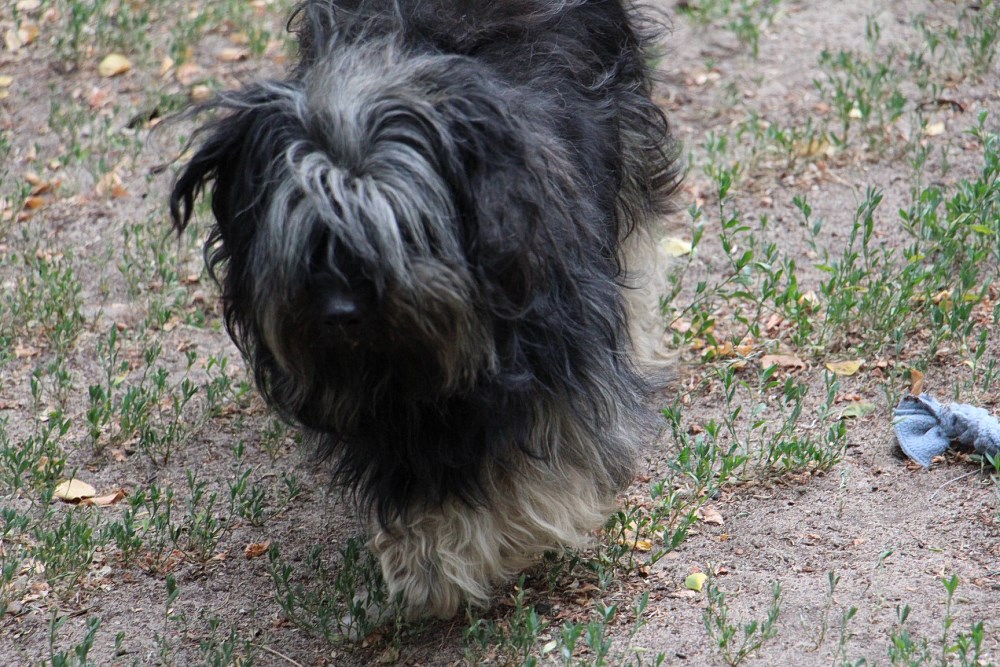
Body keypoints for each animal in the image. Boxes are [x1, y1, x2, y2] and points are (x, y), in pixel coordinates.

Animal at [170, 0, 678, 620]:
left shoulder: (556, 337)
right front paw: (430, 563)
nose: (341, 313)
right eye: (311, 234)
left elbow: (548, 461)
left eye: (402, 227)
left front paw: (501, 539)